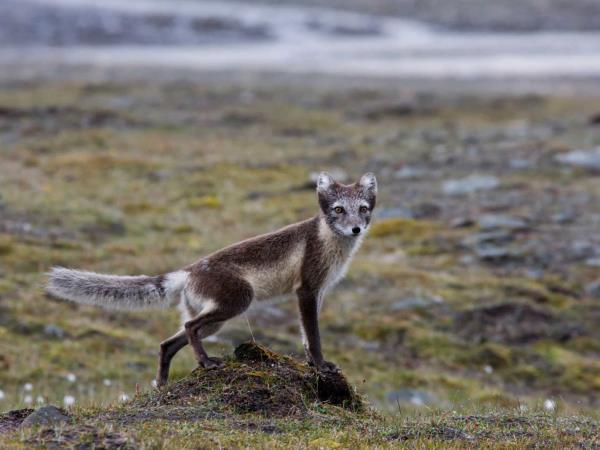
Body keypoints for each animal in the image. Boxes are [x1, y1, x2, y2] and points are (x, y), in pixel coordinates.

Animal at [45, 172, 376, 386]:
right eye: (338, 209)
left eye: (362, 209)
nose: (356, 229)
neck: (329, 242)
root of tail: (188, 271)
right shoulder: (306, 289)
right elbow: (314, 336)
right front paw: (320, 366)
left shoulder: (317, 292)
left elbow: (307, 336)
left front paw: (311, 362)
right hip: (237, 302)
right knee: (190, 328)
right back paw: (205, 363)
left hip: (215, 319)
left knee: (168, 343)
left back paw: (162, 383)